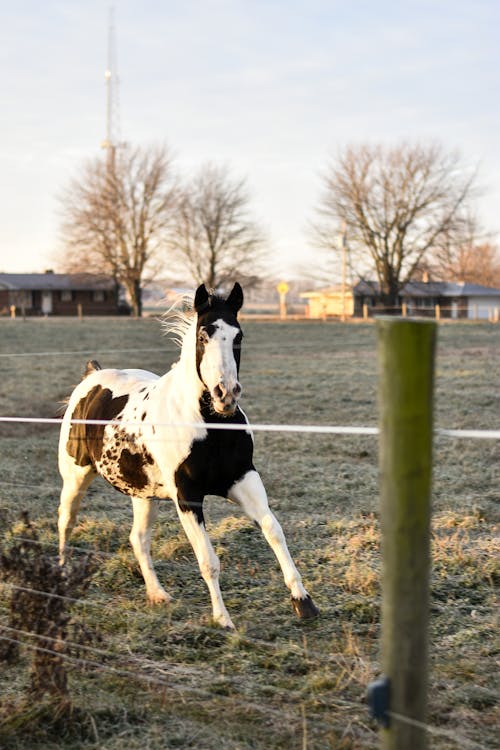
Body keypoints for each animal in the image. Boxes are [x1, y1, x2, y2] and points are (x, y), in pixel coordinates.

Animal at [58, 284, 316, 632]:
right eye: (203, 336)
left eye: (238, 335)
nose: (226, 394)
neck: (209, 427)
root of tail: (91, 377)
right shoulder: (188, 497)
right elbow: (208, 560)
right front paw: (223, 620)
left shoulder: (243, 479)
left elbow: (273, 530)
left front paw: (303, 602)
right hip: (76, 477)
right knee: (66, 521)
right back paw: (60, 578)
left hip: (144, 494)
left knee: (138, 538)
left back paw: (157, 595)